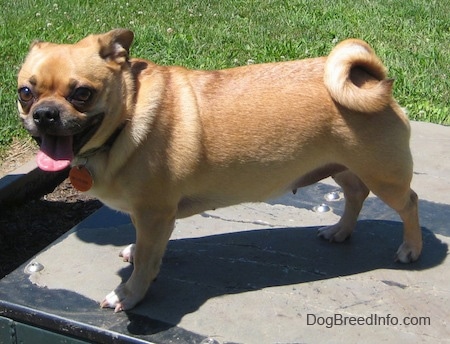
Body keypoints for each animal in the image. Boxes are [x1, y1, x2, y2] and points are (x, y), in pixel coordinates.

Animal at [18, 29, 422, 312]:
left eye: (81, 94)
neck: (126, 115)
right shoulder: (148, 216)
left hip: (383, 175)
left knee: (410, 203)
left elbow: (148, 260)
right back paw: (340, 231)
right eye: (25, 93)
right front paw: (134, 251)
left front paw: (129, 294)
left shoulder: (154, 213)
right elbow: (146, 246)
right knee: (355, 194)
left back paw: (411, 248)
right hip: (342, 167)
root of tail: (371, 82)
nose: (45, 114)